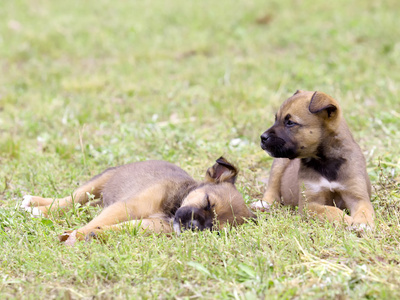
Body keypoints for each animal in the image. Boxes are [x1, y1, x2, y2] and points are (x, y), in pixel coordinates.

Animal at [21, 157, 255, 244]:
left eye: (214, 230)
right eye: (207, 202)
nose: (193, 226)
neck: (172, 210)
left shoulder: (148, 225)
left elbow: (116, 227)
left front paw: (92, 235)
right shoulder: (127, 206)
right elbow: (96, 222)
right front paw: (75, 234)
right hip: (99, 183)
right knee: (68, 200)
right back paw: (36, 206)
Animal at [253, 89, 376, 230]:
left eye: (290, 123)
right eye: (276, 119)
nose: (262, 137)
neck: (326, 162)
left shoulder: (357, 196)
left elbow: (364, 210)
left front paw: (363, 223)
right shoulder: (309, 203)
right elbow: (330, 210)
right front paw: (347, 219)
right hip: (280, 163)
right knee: (272, 187)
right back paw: (263, 204)